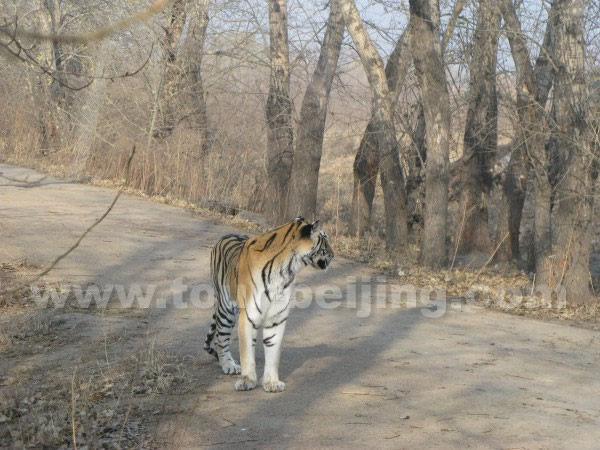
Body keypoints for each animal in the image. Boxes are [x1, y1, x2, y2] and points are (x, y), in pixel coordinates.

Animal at [203, 216, 332, 392]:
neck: (286, 269)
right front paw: (247, 381)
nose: (333, 255)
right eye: (325, 239)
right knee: (220, 339)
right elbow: (247, 353)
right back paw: (229, 365)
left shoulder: (276, 318)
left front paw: (272, 382)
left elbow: (273, 352)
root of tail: (225, 236)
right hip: (225, 309)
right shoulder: (248, 316)